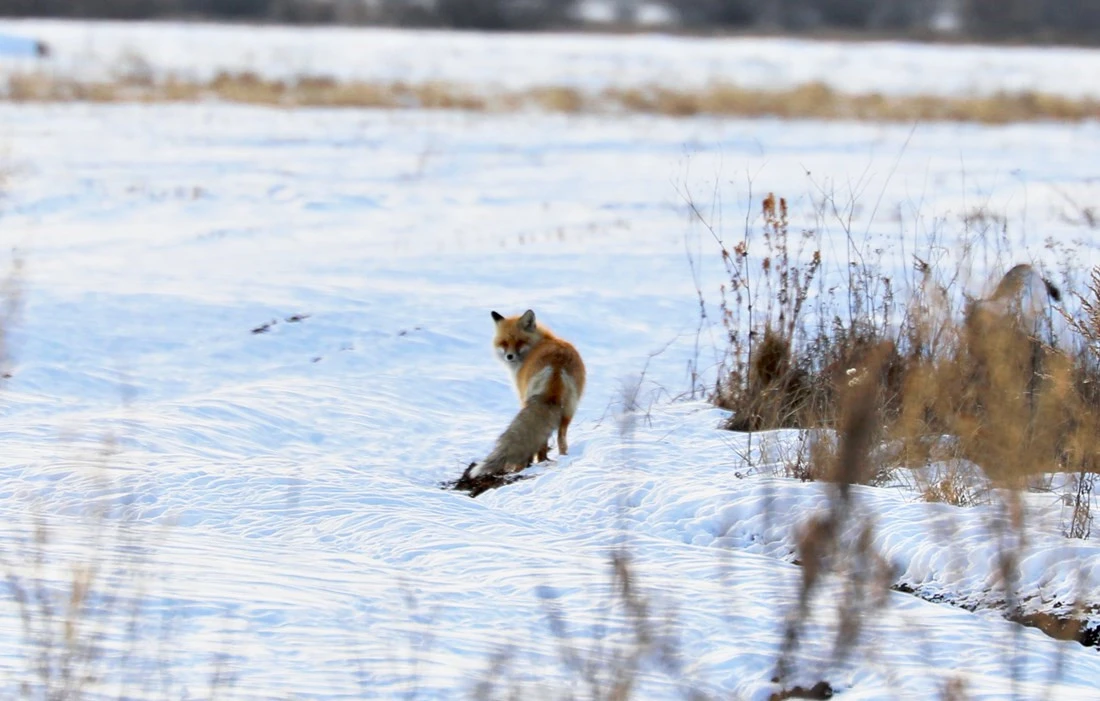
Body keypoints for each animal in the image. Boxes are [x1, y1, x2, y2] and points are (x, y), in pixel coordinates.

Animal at [475, 310, 589, 477]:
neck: (539, 343)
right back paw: (561, 458)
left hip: (530, 400)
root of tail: (556, 367)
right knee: (560, 438)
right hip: (569, 410)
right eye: (504, 343)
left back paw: (524, 466)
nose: (509, 357)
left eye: (519, 342)